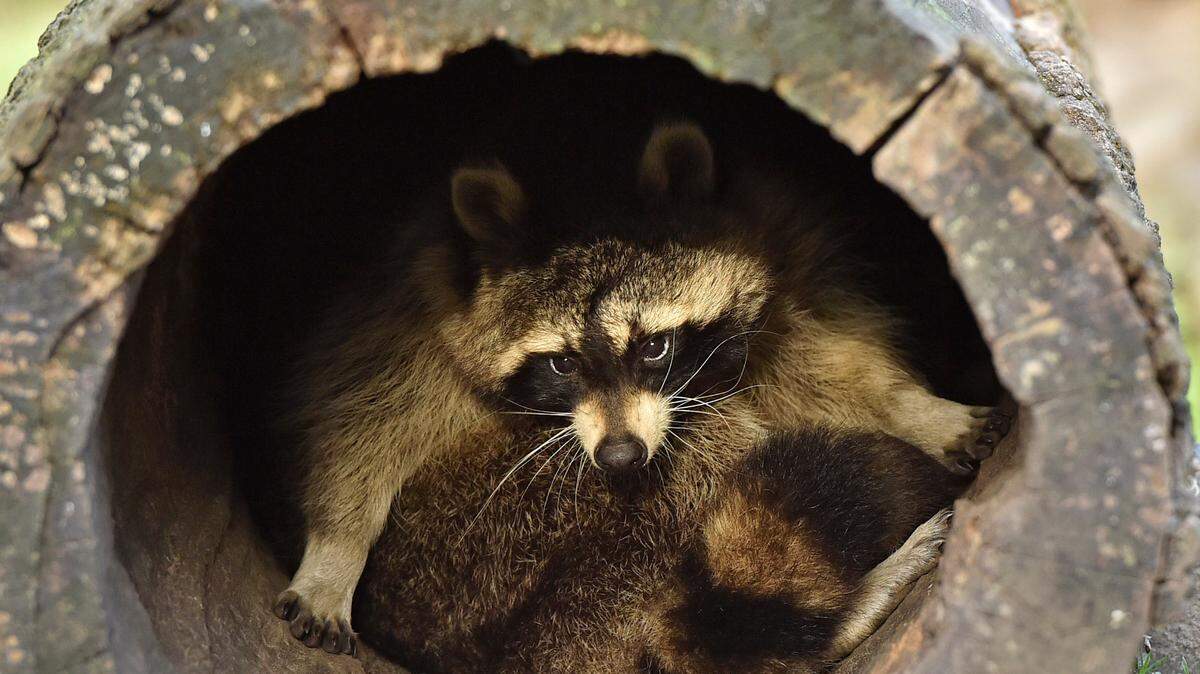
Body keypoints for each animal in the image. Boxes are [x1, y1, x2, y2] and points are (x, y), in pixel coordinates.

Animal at [271, 121, 1011, 654]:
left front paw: (919, 410)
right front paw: (335, 552)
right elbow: (364, 416)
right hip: (469, 550)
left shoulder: (776, 257)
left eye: (654, 347)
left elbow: (825, 367)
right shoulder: (410, 307)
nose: (620, 457)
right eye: (561, 365)